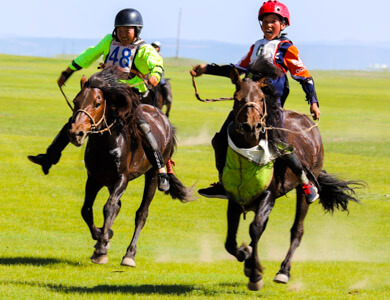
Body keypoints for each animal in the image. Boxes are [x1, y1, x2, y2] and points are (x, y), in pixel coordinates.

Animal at [69, 66, 193, 268]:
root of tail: (165, 121)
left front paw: (101, 250)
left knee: (141, 213)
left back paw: (129, 255)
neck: (107, 142)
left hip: (152, 175)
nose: (76, 133)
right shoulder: (94, 179)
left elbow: (110, 207)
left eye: (97, 103)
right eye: (76, 100)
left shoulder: (122, 179)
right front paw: (102, 237)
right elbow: (86, 210)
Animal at [216, 62, 362, 290]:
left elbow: (255, 228)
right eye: (237, 98)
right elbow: (231, 242)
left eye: (261, 98)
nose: (251, 127)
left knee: (297, 230)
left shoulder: (268, 195)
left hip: (304, 190)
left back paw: (283, 271)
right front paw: (246, 256)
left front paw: (255, 274)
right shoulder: (235, 198)